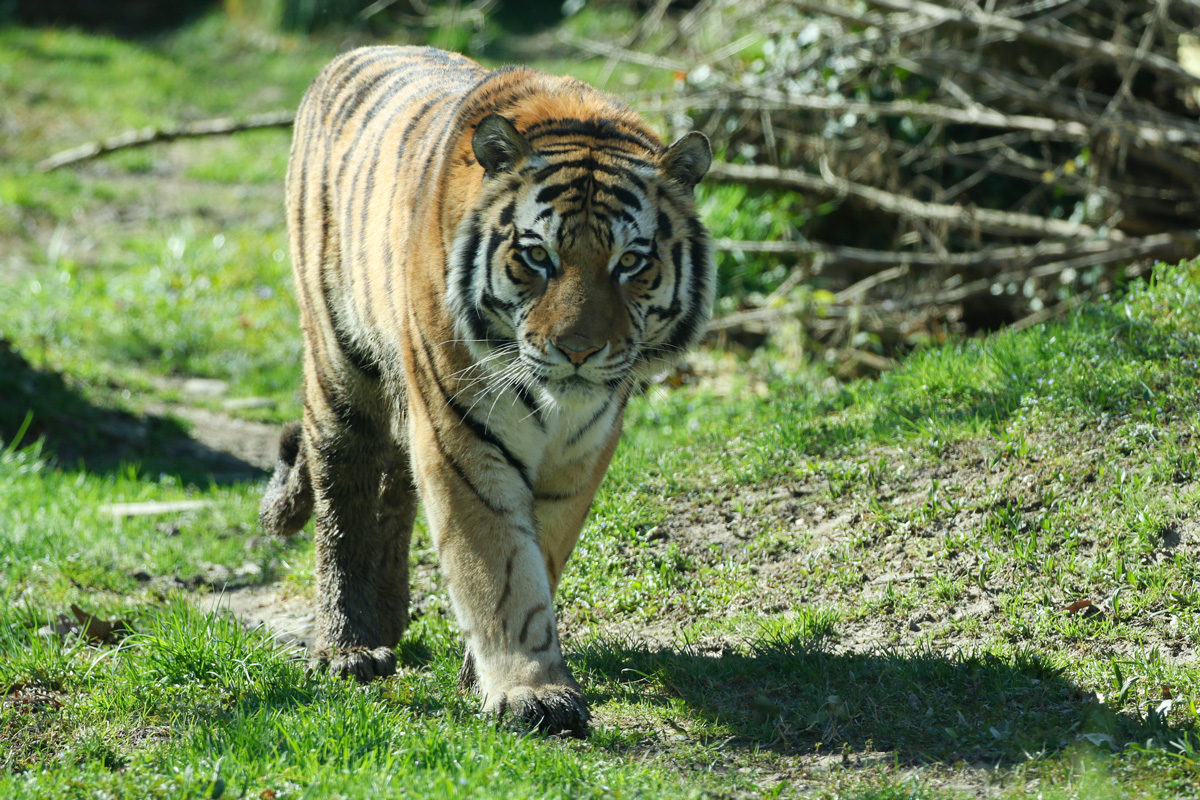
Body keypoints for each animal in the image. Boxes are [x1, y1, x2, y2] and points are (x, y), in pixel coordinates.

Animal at [260, 45, 710, 738]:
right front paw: (534, 693)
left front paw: (488, 672)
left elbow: (540, 554)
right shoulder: (462, 434)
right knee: (344, 490)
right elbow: (498, 565)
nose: (578, 351)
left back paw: (388, 618)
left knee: (394, 489)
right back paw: (348, 645)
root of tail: (349, 54)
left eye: (631, 262)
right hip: (341, 364)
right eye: (538, 256)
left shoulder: (582, 452)